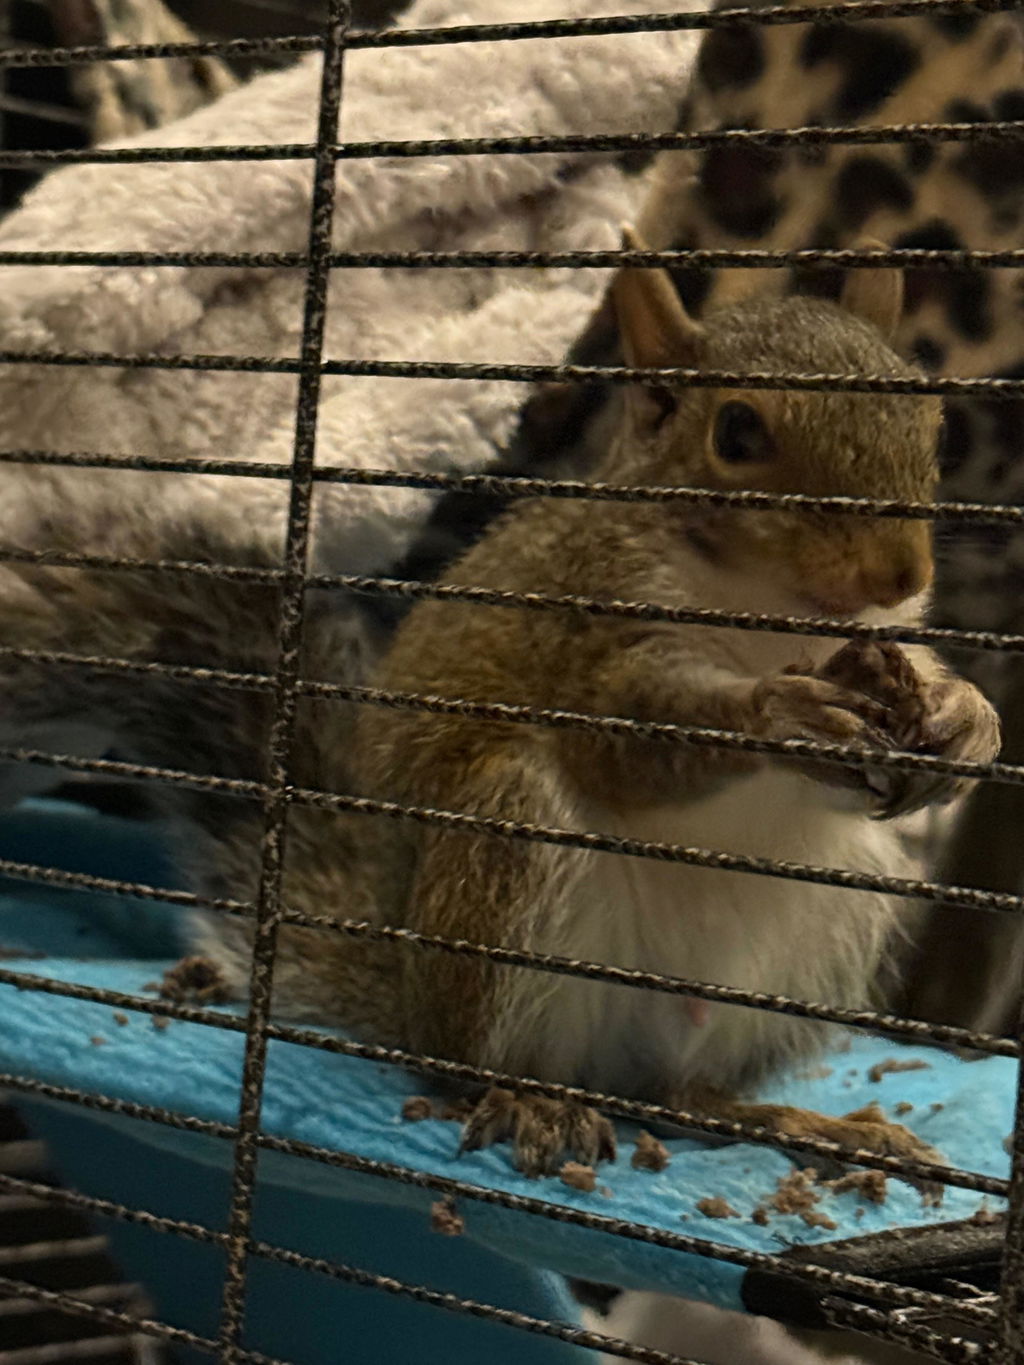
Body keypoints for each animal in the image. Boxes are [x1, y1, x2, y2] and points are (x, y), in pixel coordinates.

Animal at [194, 230, 1001, 1177]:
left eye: (935, 423)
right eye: (737, 429)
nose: (898, 572)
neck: (774, 608)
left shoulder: (887, 637)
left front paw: (969, 720)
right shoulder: (592, 636)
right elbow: (633, 745)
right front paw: (782, 716)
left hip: (820, 925)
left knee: (686, 1097)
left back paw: (805, 1125)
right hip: (506, 842)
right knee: (474, 1065)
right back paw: (530, 1101)